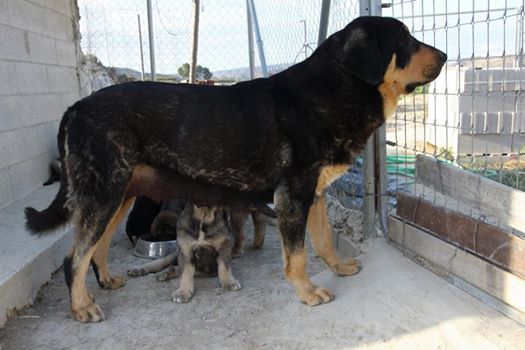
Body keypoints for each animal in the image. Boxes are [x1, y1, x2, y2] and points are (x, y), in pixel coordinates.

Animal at [23, 17, 442, 322]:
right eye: (405, 38)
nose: (445, 55)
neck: (333, 88)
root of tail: (75, 107)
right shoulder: (293, 197)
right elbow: (297, 256)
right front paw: (307, 293)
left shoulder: (315, 193)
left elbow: (323, 242)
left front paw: (338, 269)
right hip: (103, 195)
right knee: (73, 258)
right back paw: (80, 307)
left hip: (118, 195)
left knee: (96, 248)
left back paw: (106, 281)